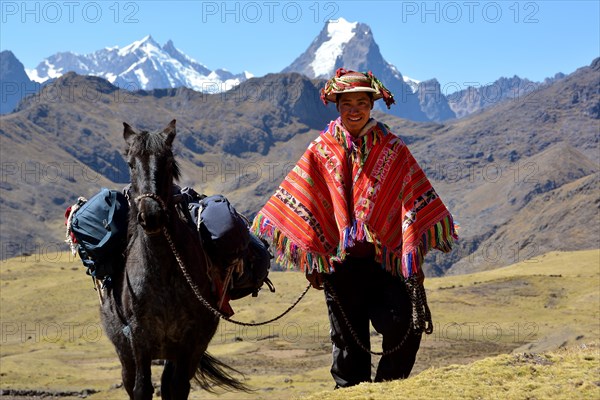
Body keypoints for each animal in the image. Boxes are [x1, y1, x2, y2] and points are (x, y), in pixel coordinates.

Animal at [99, 119, 245, 400]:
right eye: (131, 164)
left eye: (167, 162)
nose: (151, 215)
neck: (162, 276)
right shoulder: (139, 339)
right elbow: (142, 389)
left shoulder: (189, 342)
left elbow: (177, 389)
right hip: (125, 353)